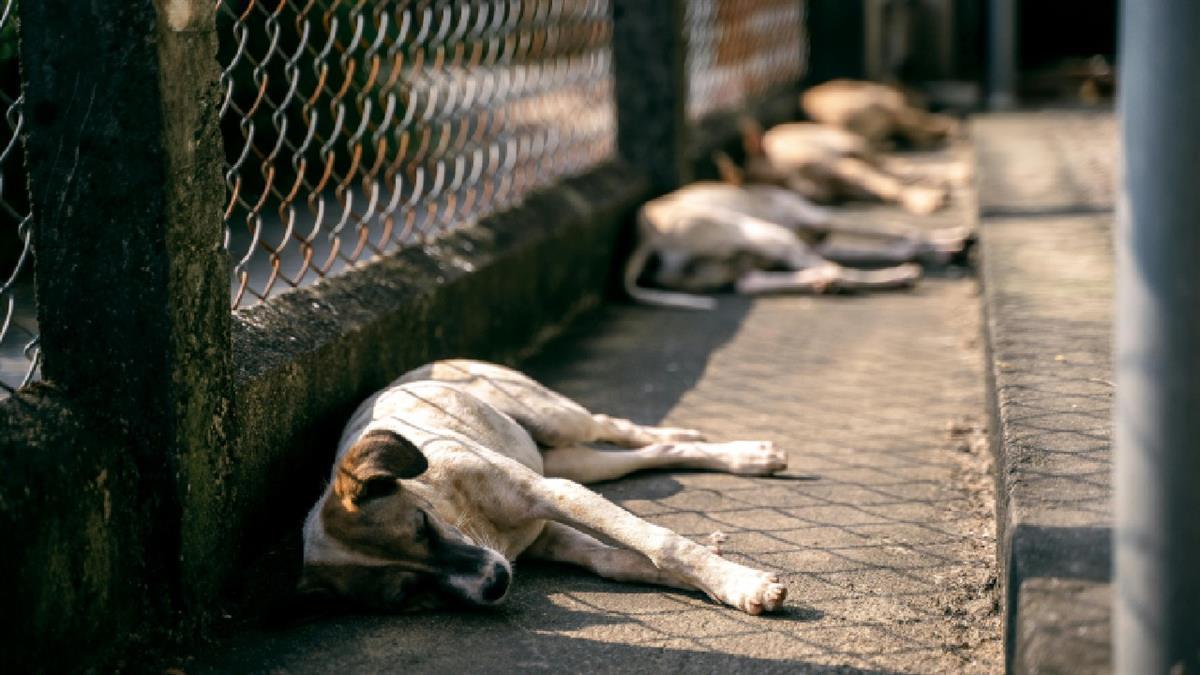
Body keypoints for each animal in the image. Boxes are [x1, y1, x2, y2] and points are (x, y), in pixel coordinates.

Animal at [297, 357, 787, 614]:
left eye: (422, 527)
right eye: (407, 593)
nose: (495, 584)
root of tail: (419, 366)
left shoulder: (554, 494)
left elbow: (661, 544)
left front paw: (741, 583)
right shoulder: (547, 535)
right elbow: (618, 560)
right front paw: (723, 582)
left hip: (555, 418)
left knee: (613, 425)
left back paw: (740, 450)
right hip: (575, 462)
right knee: (645, 455)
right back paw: (739, 455)